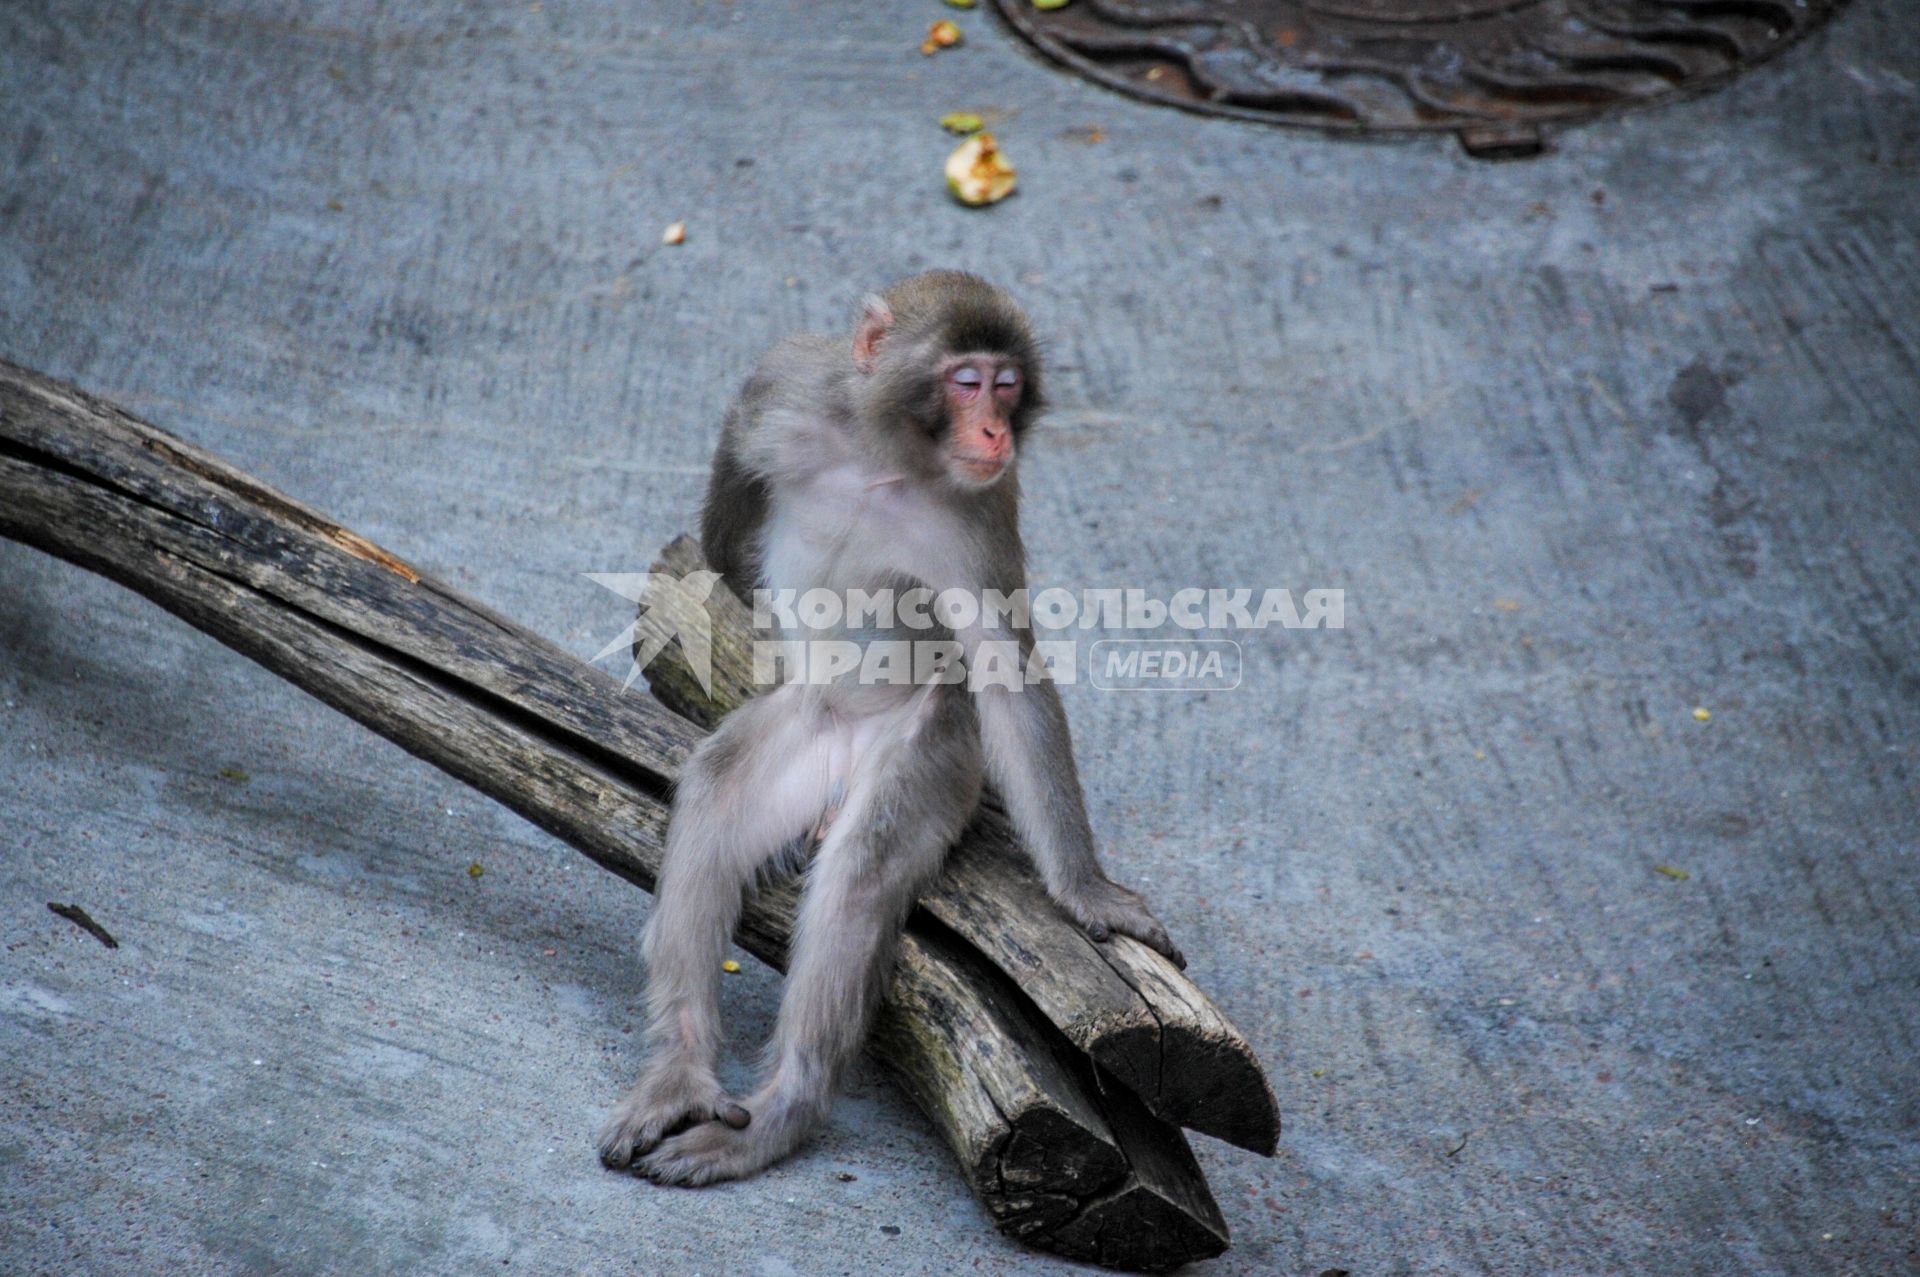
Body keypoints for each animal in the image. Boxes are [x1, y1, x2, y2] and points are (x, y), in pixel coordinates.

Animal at [599, 268, 1175, 1182]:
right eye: (967, 381)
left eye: (1008, 386)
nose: (994, 428)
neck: (884, 455)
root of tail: (844, 759)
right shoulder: (787, 385)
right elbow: (734, 466)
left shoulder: (978, 513)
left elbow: (1005, 668)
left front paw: (1087, 892)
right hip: (808, 729)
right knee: (717, 793)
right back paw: (681, 1072)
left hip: (939, 744)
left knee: (864, 866)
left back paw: (783, 1110)